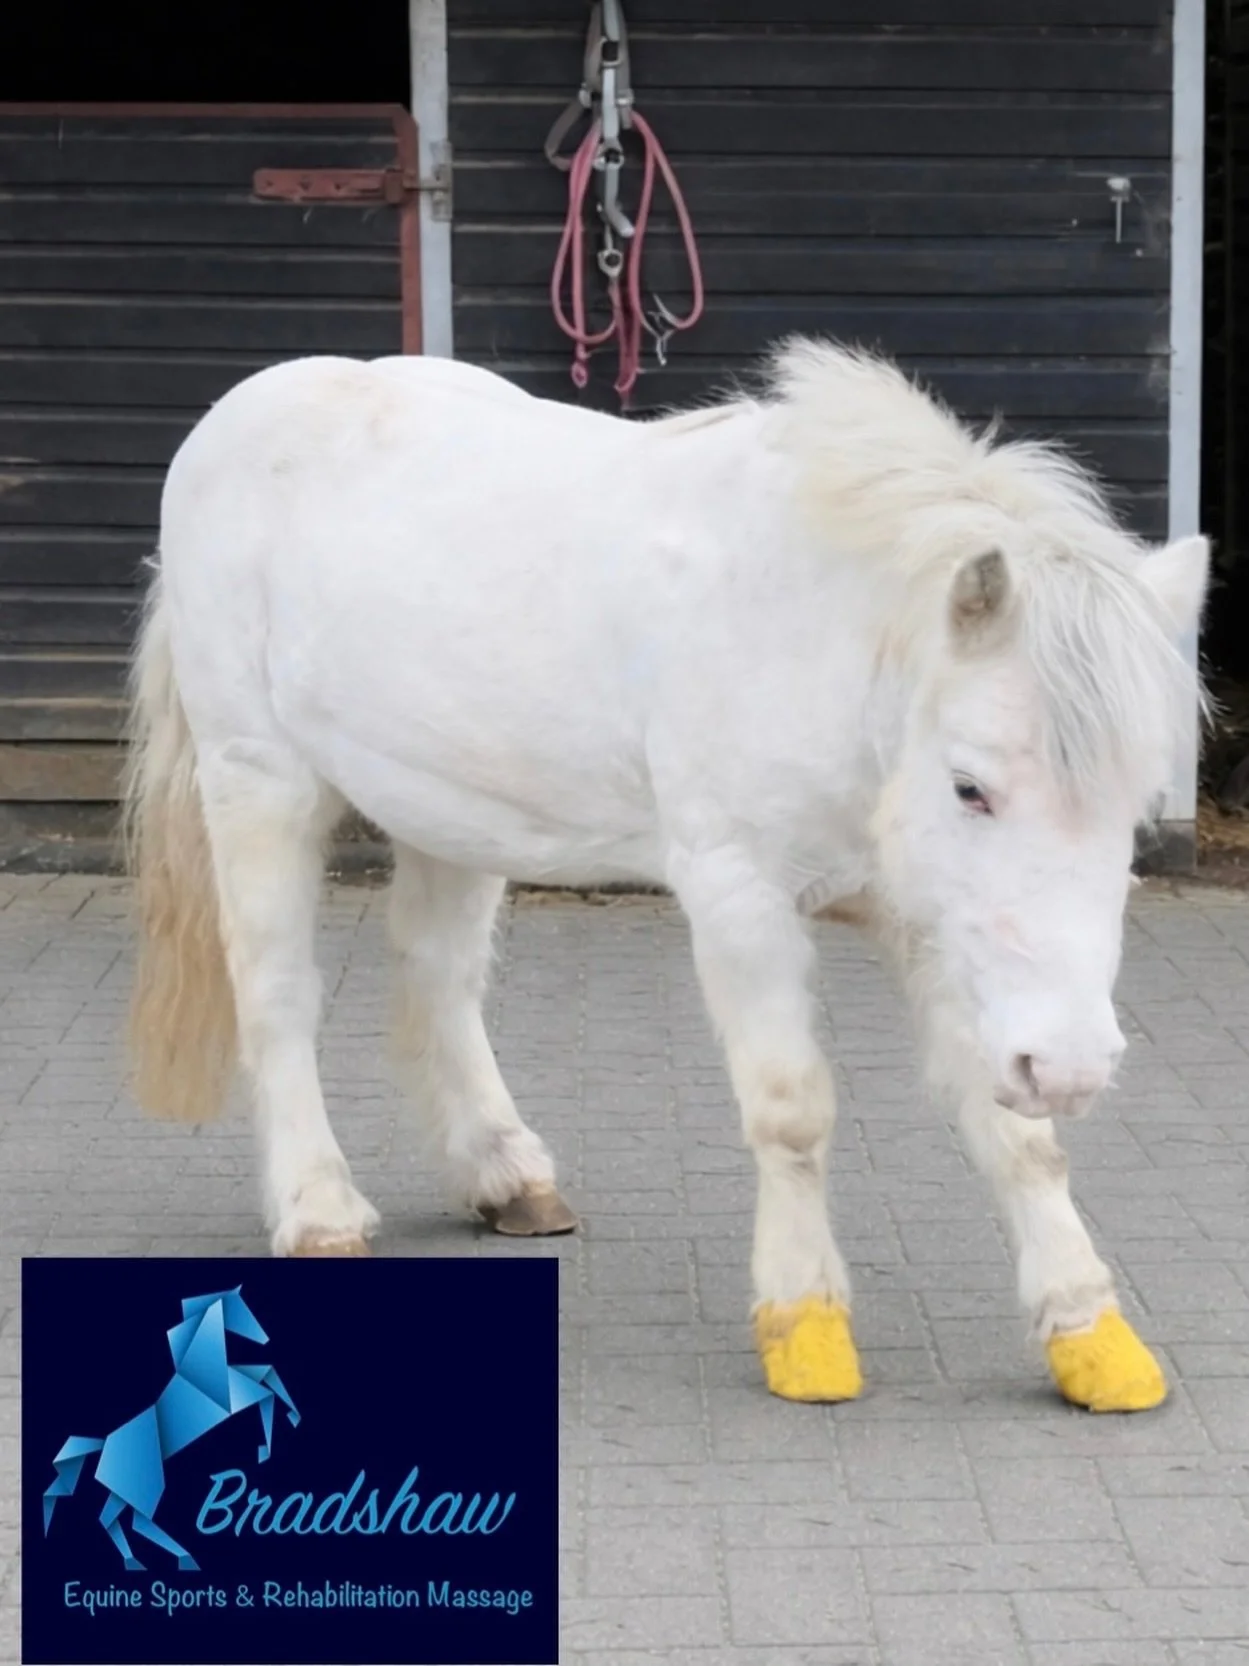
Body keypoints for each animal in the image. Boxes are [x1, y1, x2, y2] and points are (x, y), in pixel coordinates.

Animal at [44, 1287, 297, 1570]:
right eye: (244, 1310)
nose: (265, 1338)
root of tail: (105, 1443)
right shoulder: (232, 1400)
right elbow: (267, 1392)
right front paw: (265, 1449)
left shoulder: (240, 1384)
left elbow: (267, 1376)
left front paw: (280, 1432)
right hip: (145, 1487)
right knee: (138, 1522)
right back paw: (183, 1559)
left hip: (122, 1492)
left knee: (112, 1520)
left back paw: (138, 1562)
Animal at [123, 339, 1208, 1413]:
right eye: (970, 786)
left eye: (1133, 800)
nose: (1072, 1067)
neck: (819, 639)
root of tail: (245, 408)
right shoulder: (739, 894)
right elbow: (791, 1109)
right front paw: (805, 1328)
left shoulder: (932, 926)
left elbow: (1016, 1134)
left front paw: (1089, 1333)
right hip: (257, 777)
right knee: (276, 993)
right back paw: (319, 1209)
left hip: (453, 808)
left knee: (437, 974)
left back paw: (504, 1173)